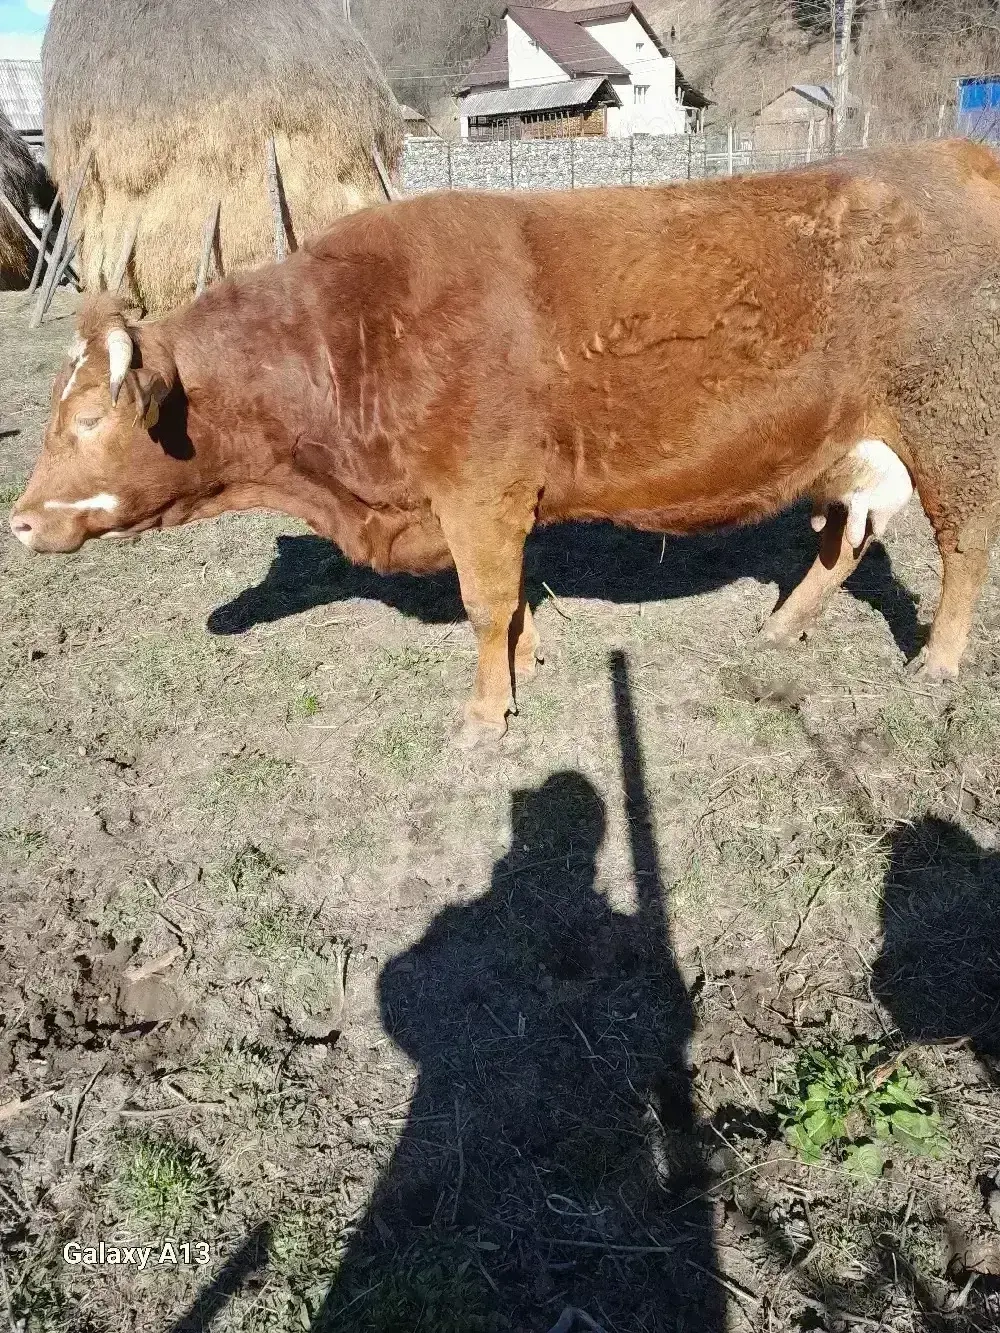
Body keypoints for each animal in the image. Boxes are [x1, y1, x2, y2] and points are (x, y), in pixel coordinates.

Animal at [9, 139, 1000, 744]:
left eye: (90, 417)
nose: (17, 520)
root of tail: (948, 153)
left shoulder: (478, 492)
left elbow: (485, 604)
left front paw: (486, 715)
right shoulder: (489, 504)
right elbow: (515, 601)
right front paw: (526, 666)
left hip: (952, 423)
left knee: (965, 546)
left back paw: (939, 662)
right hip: (857, 444)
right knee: (845, 541)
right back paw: (784, 624)